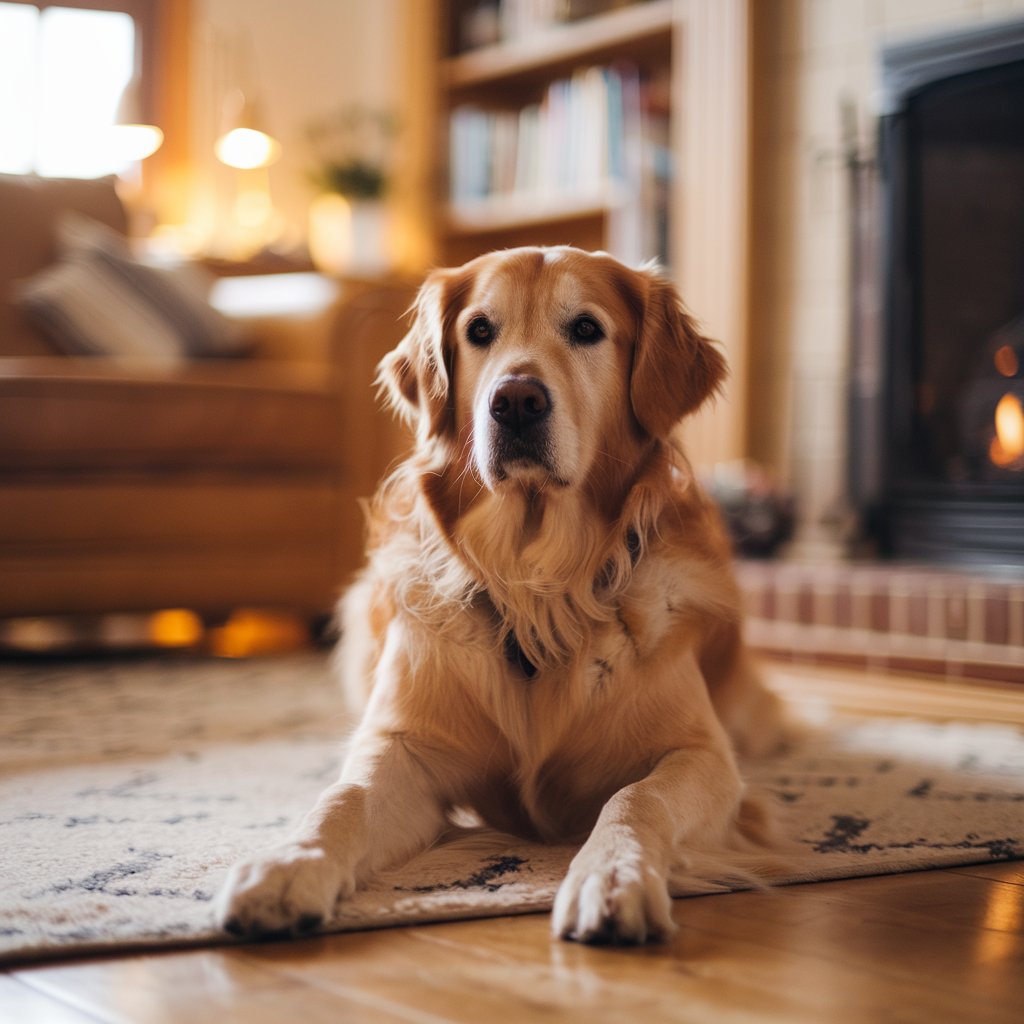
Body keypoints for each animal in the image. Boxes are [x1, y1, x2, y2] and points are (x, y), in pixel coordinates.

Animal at [218, 245, 790, 942]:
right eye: (480, 330)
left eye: (586, 329)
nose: (516, 401)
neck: (536, 588)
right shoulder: (404, 747)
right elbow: (341, 800)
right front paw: (285, 867)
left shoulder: (702, 756)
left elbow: (636, 797)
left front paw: (612, 876)